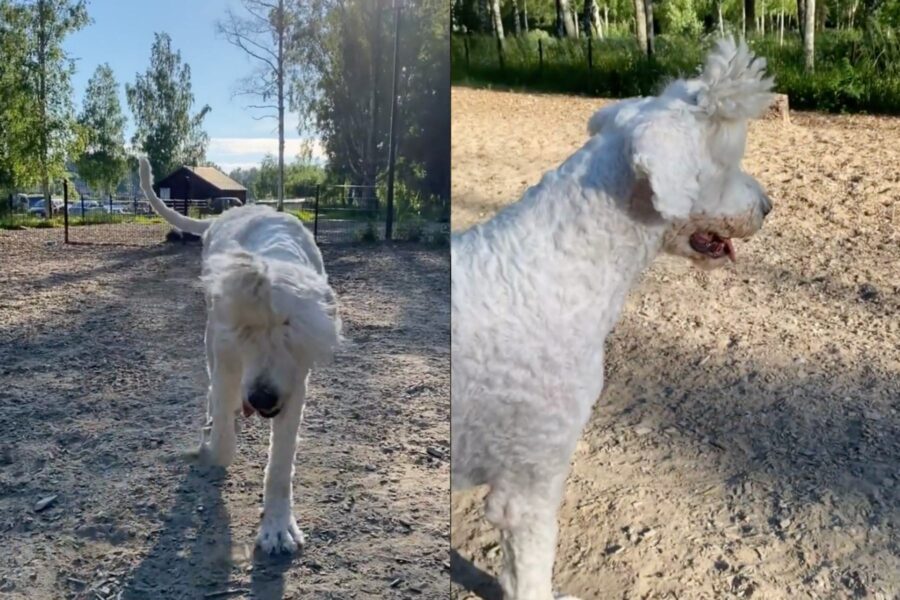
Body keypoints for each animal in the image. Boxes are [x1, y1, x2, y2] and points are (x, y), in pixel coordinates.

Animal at [139, 158, 342, 552]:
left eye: (289, 329)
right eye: (245, 333)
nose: (261, 398)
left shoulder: (296, 385)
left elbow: (280, 465)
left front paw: (277, 527)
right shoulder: (227, 354)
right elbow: (221, 443)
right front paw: (207, 445)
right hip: (209, 337)